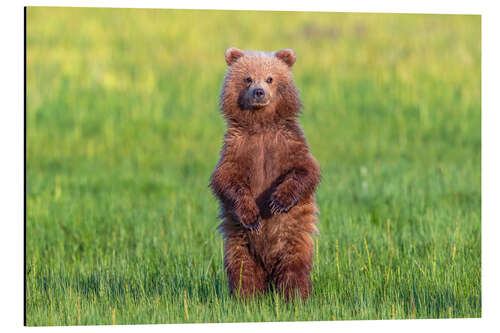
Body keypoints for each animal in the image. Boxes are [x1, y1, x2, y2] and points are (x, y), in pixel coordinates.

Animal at [210, 47, 320, 300]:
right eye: (248, 78)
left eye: (270, 78)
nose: (259, 92)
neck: (261, 125)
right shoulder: (236, 147)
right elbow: (226, 179)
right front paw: (252, 216)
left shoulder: (288, 142)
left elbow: (305, 170)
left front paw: (278, 201)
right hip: (238, 241)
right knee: (242, 269)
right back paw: (246, 298)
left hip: (293, 237)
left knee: (294, 268)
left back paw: (296, 297)